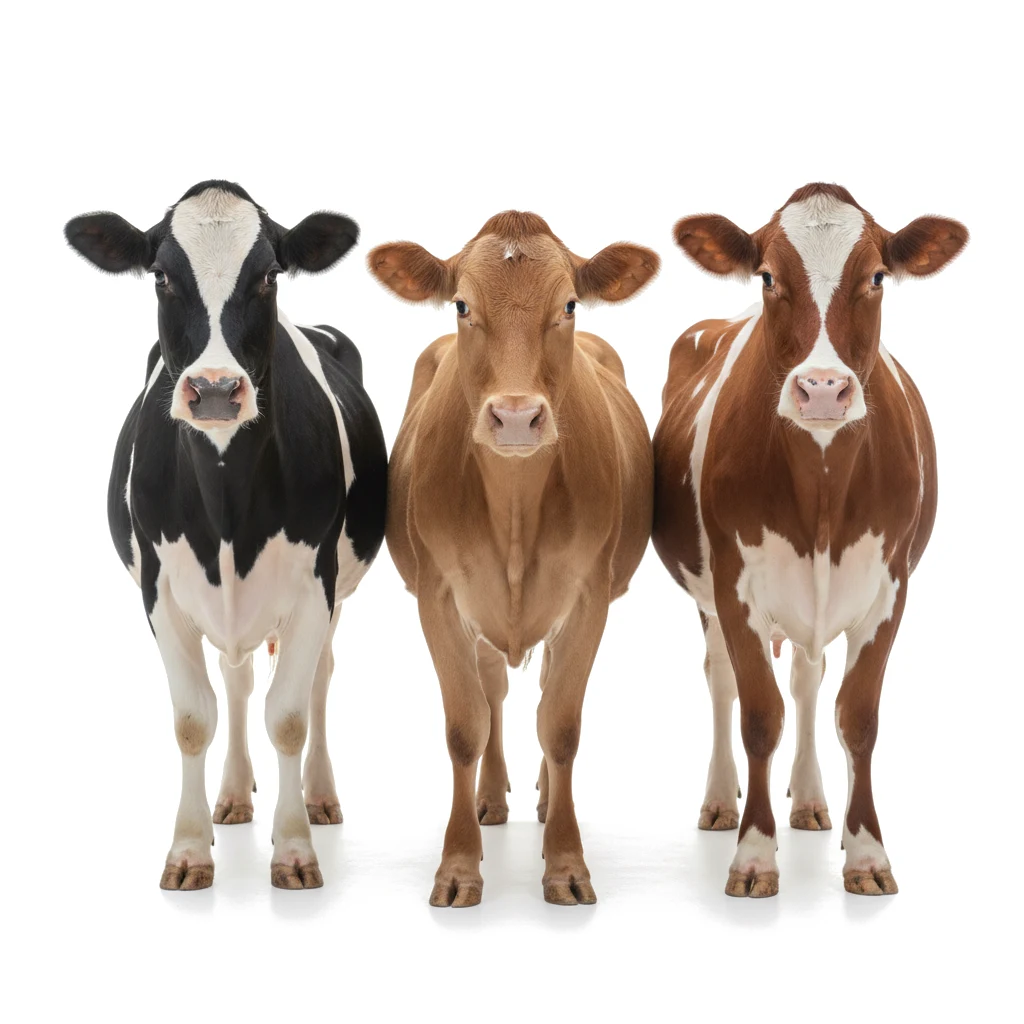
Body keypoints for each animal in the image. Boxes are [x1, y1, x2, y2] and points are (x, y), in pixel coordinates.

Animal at [65, 181, 387, 890]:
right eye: (161, 275)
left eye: (269, 275)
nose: (214, 390)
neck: (228, 508)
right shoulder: (160, 592)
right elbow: (195, 719)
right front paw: (189, 850)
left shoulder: (315, 587)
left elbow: (288, 716)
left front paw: (293, 850)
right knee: (235, 682)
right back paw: (234, 796)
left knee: (318, 678)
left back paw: (319, 798)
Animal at [368, 213, 658, 906]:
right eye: (462, 305)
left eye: (570, 305)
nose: (518, 417)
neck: (516, 506)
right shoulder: (438, 595)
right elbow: (465, 726)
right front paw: (458, 867)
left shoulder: (589, 595)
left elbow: (561, 724)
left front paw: (566, 863)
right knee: (494, 689)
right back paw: (492, 800)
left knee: (545, 688)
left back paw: (548, 803)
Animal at [652, 183, 968, 897]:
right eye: (769, 275)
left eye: (876, 276)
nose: (822, 389)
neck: (821, 489)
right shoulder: (736, 590)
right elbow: (758, 716)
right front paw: (754, 856)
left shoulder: (889, 591)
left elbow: (857, 717)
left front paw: (868, 854)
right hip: (709, 598)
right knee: (723, 683)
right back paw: (721, 801)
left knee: (807, 679)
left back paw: (814, 801)